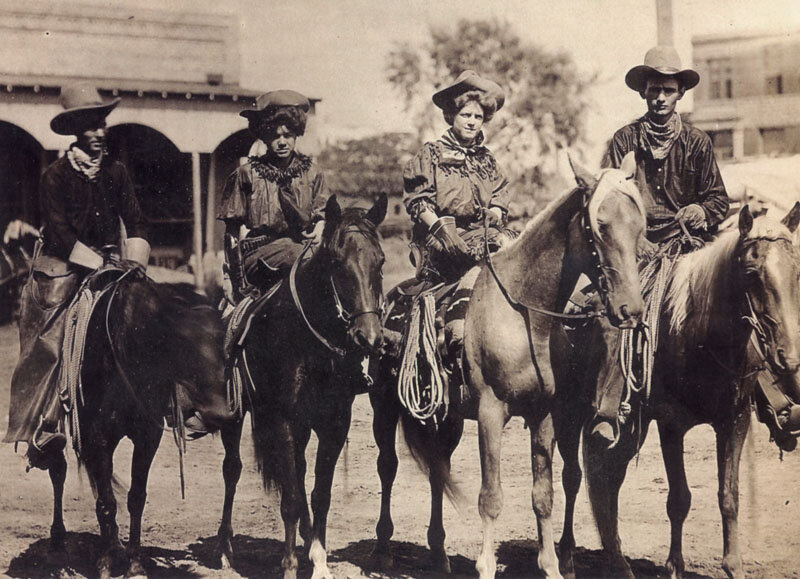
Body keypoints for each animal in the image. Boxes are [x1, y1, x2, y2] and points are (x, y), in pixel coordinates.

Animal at [41, 266, 233, 576]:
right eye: (184, 348)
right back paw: (58, 542)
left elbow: (136, 497)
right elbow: (107, 502)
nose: (227, 412)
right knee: (58, 471)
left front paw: (133, 563)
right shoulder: (97, 437)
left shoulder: (146, 436)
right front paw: (108, 562)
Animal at [214, 195, 386, 579]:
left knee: (299, 472)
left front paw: (319, 560)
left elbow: (320, 494)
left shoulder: (334, 425)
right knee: (232, 470)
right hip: (235, 417)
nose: (368, 337)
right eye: (337, 262)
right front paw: (290, 565)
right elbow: (290, 498)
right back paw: (225, 549)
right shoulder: (283, 422)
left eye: (380, 262)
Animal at [552, 205, 800, 579]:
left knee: (608, 481)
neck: (698, 337)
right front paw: (674, 566)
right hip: (569, 414)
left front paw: (733, 565)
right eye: (751, 272)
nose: (787, 357)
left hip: (629, 429)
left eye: (795, 271)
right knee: (573, 477)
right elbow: (679, 499)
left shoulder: (735, 421)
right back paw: (567, 557)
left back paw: (618, 561)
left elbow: (729, 496)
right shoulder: (671, 424)